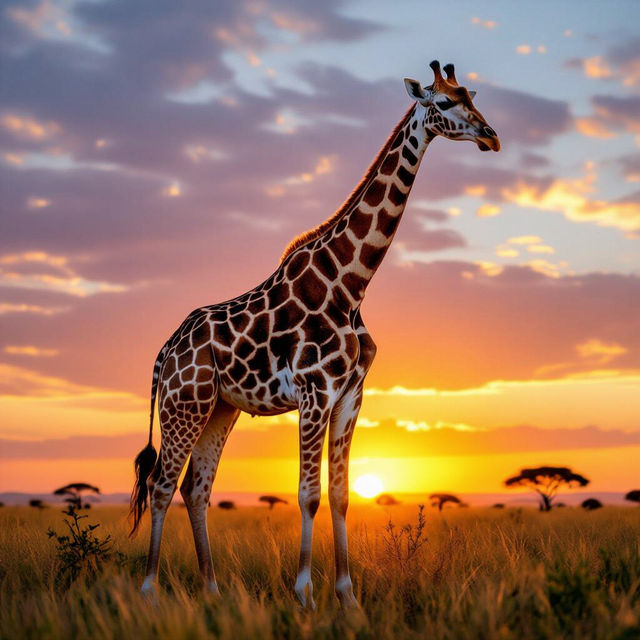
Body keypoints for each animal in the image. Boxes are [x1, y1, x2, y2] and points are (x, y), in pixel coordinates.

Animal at [129, 60, 500, 608]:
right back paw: (150, 591)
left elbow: (342, 495)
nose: (491, 136)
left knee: (196, 488)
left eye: (471, 96)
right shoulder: (313, 392)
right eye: (444, 102)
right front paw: (304, 591)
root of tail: (163, 353)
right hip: (184, 403)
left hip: (220, 408)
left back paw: (213, 590)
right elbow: (307, 495)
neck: (351, 285)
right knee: (161, 484)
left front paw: (347, 595)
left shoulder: (351, 395)